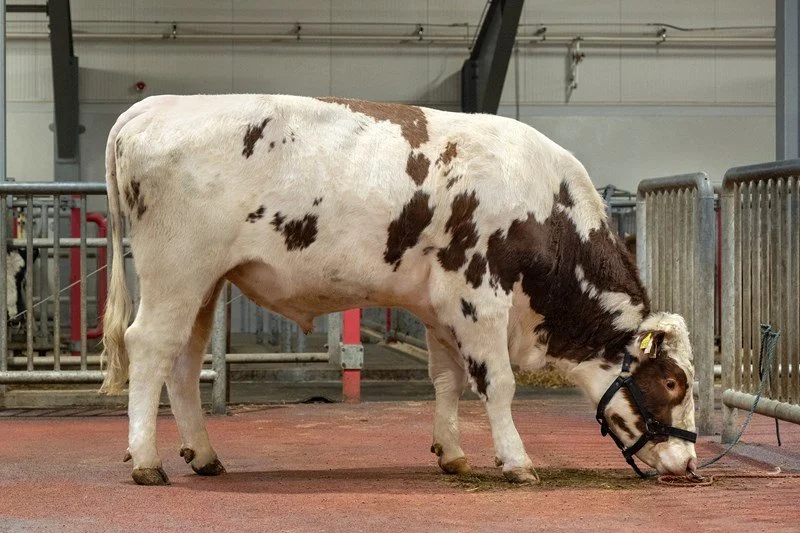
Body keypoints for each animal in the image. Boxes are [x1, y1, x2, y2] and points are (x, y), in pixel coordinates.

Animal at [100, 94, 697, 486]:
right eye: (672, 382)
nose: (690, 463)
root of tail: (154, 105)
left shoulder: (438, 304)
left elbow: (446, 379)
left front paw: (452, 453)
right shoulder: (479, 295)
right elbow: (498, 384)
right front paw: (516, 461)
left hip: (203, 285)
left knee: (183, 363)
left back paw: (203, 455)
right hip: (176, 270)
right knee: (150, 348)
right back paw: (146, 462)